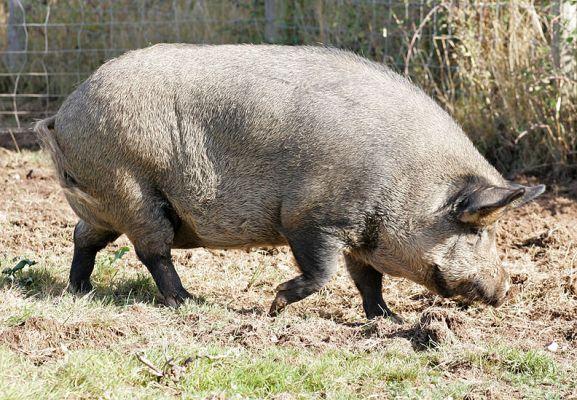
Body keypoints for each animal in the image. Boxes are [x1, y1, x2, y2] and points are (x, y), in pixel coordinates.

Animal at [36, 44, 544, 318]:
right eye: (477, 232)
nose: (505, 290)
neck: (404, 180)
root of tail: (65, 114)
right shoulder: (311, 215)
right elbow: (324, 271)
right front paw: (274, 305)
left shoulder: (361, 230)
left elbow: (368, 278)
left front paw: (386, 318)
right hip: (133, 188)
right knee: (152, 251)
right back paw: (188, 301)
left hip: (104, 200)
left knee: (84, 237)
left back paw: (80, 290)